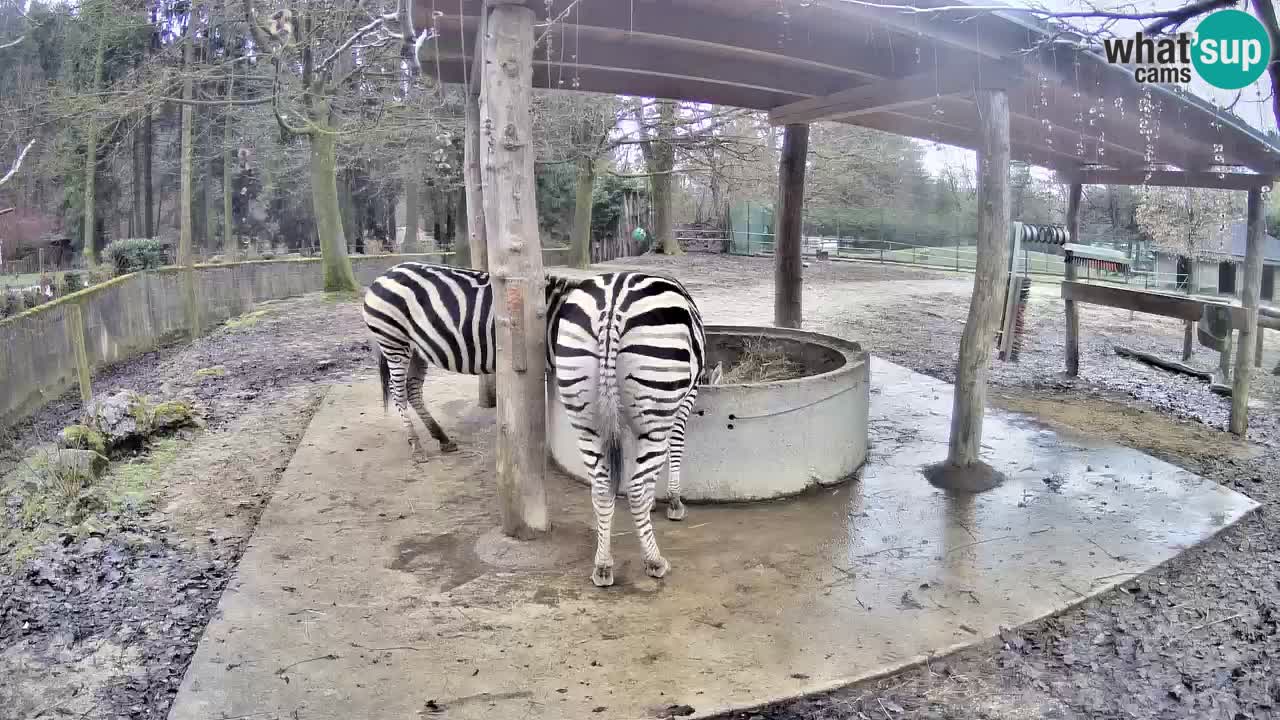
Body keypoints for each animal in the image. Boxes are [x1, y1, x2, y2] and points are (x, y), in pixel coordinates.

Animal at [547, 269, 711, 584]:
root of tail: (612, 305)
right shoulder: (685, 400)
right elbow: (675, 447)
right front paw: (673, 502)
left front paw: (652, 502)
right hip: (655, 402)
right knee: (633, 488)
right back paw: (654, 561)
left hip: (585, 418)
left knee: (601, 488)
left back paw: (603, 564)